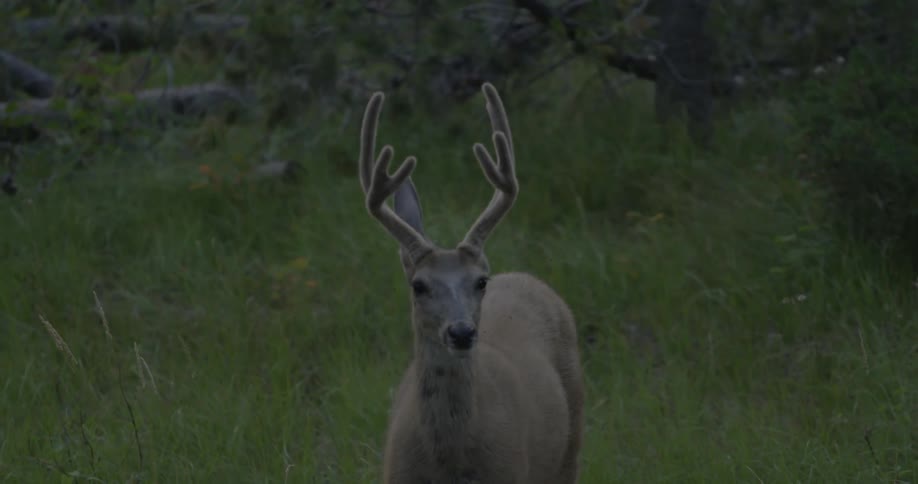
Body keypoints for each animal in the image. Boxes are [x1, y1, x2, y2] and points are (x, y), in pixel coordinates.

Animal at [357, 82, 584, 484]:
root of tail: (527, 277)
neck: (448, 462)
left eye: (480, 281)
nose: (461, 332)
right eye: (418, 285)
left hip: (570, 442)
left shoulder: (511, 471)